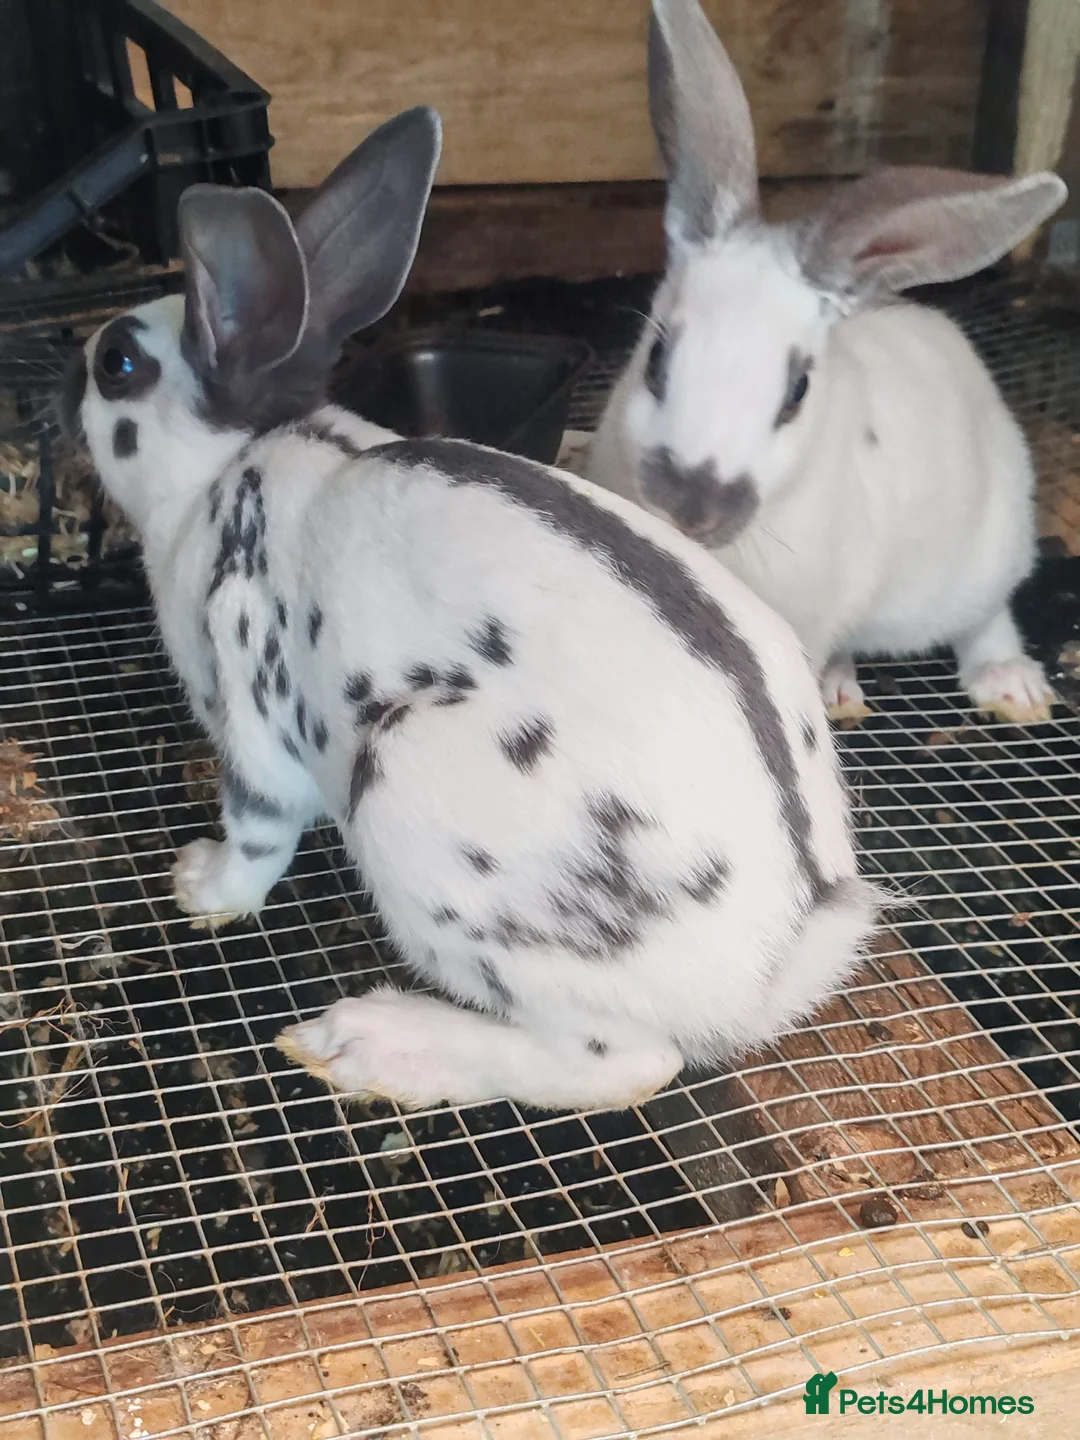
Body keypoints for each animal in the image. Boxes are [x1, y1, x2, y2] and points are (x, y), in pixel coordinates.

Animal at [62, 104, 880, 1114]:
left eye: (118, 361)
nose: (73, 368)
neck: (223, 472)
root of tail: (775, 962)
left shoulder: (248, 695)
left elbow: (257, 835)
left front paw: (198, 882)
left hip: (410, 794)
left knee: (623, 1062)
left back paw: (374, 1043)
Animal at [589, 0, 1067, 726]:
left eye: (798, 391)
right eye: (657, 357)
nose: (691, 506)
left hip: (994, 547)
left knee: (988, 617)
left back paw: (1010, 684)